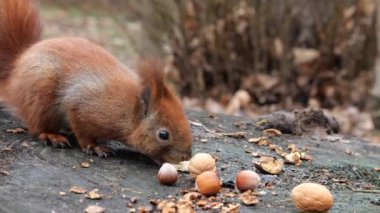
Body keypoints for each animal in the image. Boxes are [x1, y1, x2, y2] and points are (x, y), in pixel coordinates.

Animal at [0, 0, 191, 163]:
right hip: (41, 95)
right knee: (37, 127)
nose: (186, 156)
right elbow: (82, 130)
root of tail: (16, 69)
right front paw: (94, 147)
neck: (129, 111)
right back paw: (51, 135)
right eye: (164, 135)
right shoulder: (83, 107)